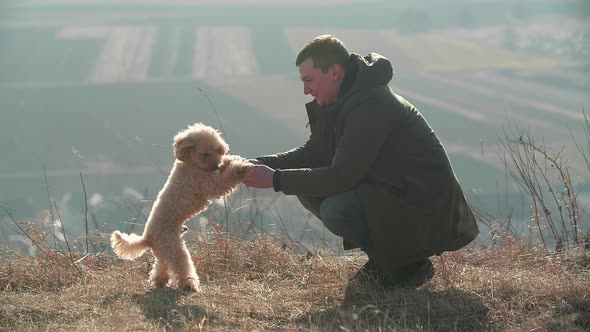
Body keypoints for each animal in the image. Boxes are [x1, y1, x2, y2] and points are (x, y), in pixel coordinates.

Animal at [110, 122, 250, 290]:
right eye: (204, 154)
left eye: (217, 150)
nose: (216, 166)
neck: (191, 163)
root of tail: (147, 237)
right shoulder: (208, 184)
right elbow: (223, 181)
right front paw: (238, 166)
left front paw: (231, 159)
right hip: (174, 248)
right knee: (181, 266)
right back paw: (189, 284)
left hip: (164, 251)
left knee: (161, 266)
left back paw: (160, 280)